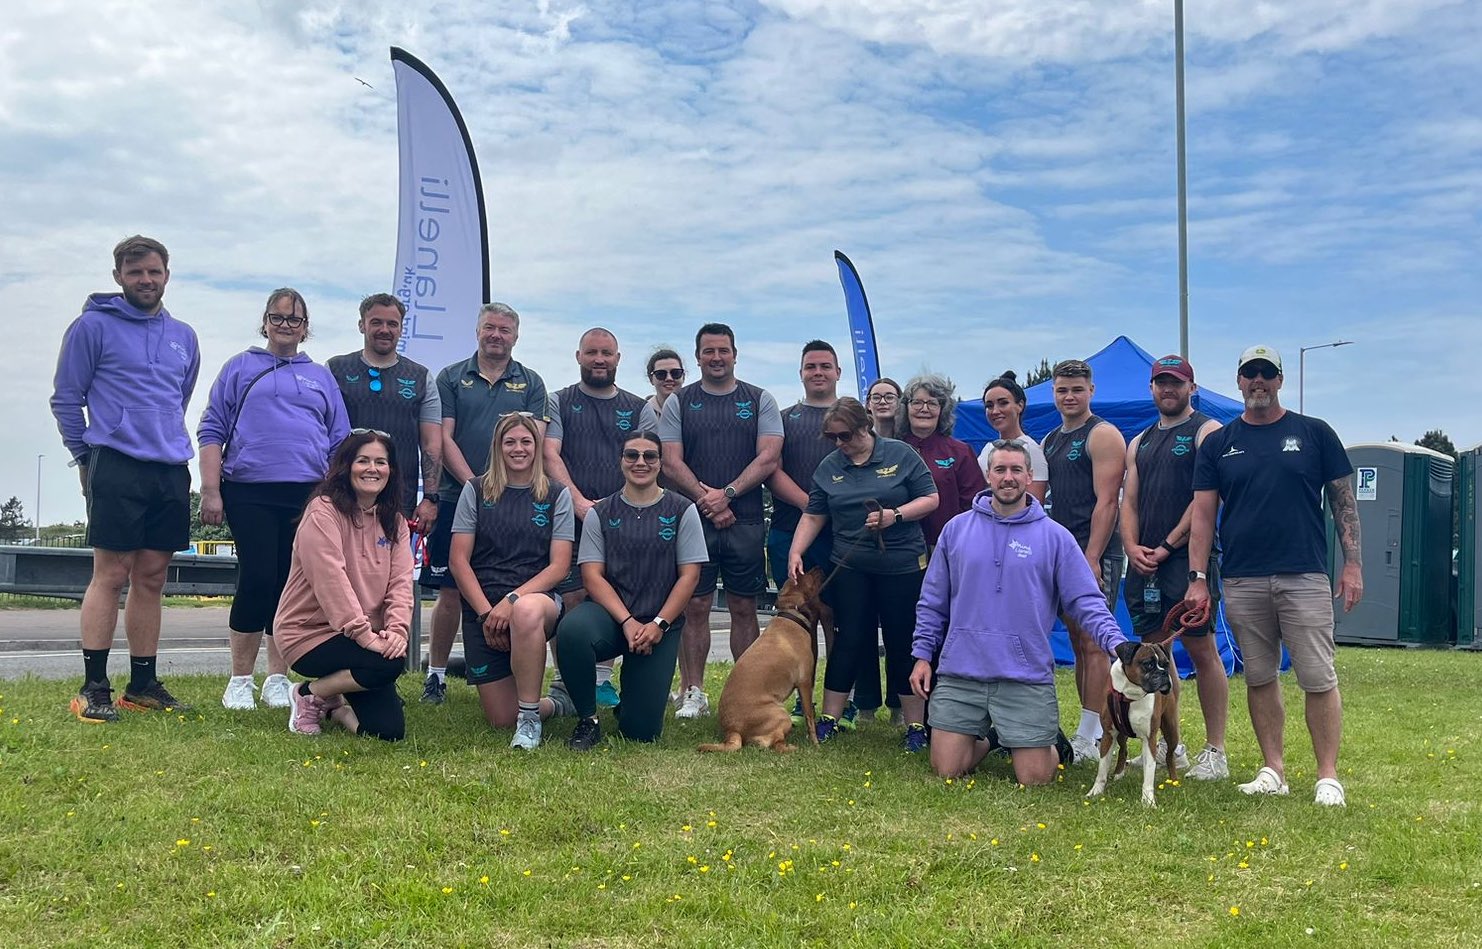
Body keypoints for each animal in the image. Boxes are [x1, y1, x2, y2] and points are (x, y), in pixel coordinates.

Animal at [699, 566, 829, 753]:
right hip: (781, 713)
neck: (791, 614)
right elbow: (810, 717)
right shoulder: (805, 682)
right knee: (776, 744)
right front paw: (815, 743)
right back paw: (792, 747)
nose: (819, 566)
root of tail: (733, 730)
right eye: (805, 573)